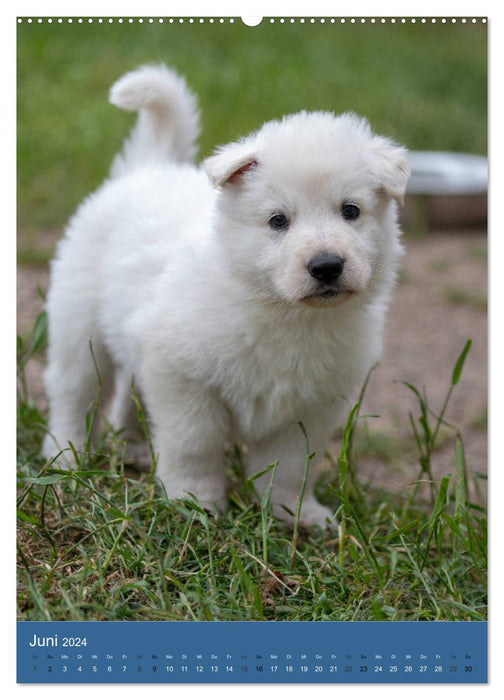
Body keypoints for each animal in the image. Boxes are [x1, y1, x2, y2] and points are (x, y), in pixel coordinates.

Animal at [43, 64, 410, 524]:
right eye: (278, 220)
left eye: (351, 211)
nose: (327, 266)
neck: (283, 313)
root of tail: (148, 167)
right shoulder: (181, 374)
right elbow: (194, 442)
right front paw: (195, 500)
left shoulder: (311, 403)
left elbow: (290, 463)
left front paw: (294, 513)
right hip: (78, 327)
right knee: (73, 393)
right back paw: (66, 458)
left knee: (128, 395)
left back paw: (134, 451)